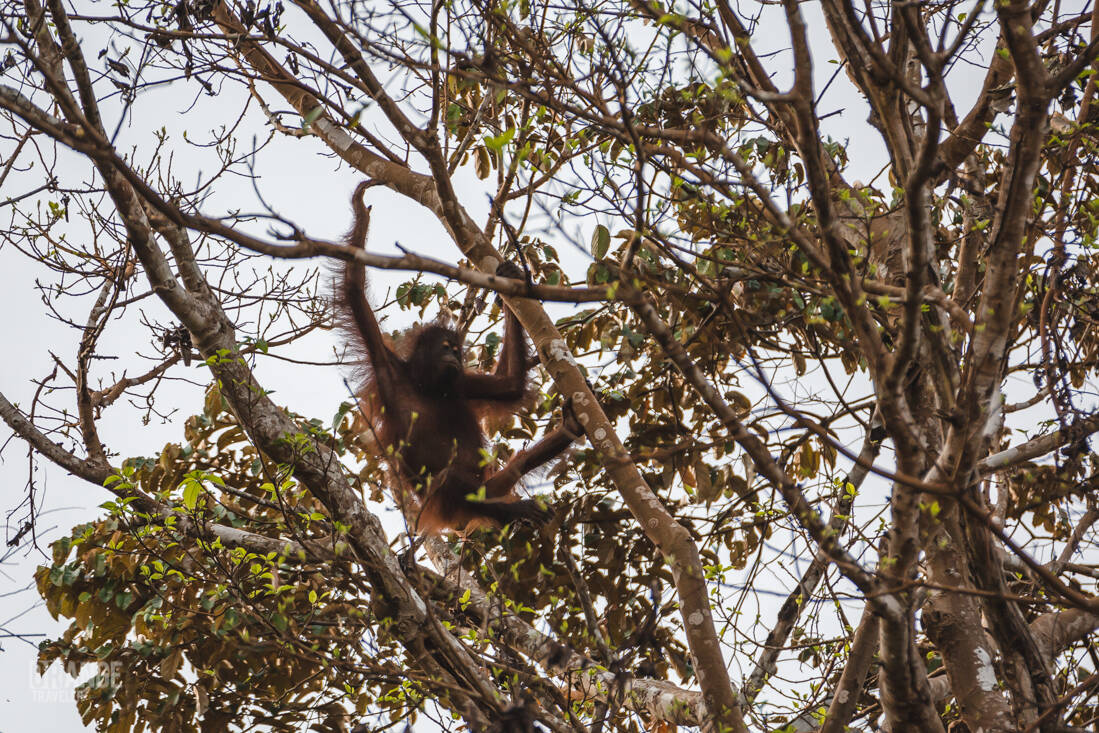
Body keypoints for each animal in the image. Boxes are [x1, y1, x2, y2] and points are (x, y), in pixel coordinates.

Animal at [335, 182, 580, 533]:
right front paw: (360, 209)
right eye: (445, 348)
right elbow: (354, 289)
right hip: (445, 504)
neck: (426, 385)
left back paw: (567, 432)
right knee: (452, 479)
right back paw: (509, 511)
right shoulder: (384, 363)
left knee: (511, 469)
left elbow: (510, 385)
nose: (454, 357)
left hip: (485, 487)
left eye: (456, 350)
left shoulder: (461, 381)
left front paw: (510, 280)